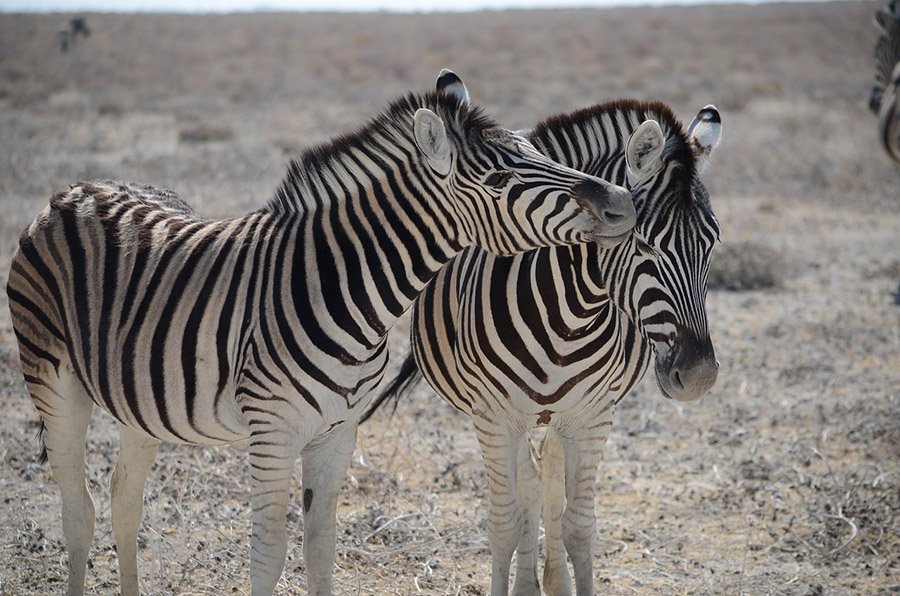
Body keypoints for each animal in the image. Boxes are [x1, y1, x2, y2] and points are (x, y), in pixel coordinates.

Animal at [7, 88, 640, 596]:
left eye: (538, 151)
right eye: (501, 181)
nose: (623, 203)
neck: (351, 295)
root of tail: (76, 189)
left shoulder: (338, 432)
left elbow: (319, 552)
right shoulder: (272, 432)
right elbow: (268, 555)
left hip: (140, 401)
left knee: (123, 501)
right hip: (53, 380)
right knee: (79, 512)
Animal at [372, 73, 724, 596]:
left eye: (713, 241)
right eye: (643, 243)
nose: (699, 375)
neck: (569, 316)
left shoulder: (593, 415)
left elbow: (576, 524)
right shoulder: (494, 417)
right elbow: (506, 521)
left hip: (559, 417)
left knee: (550, 483)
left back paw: (551, 579)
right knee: (528, 491)